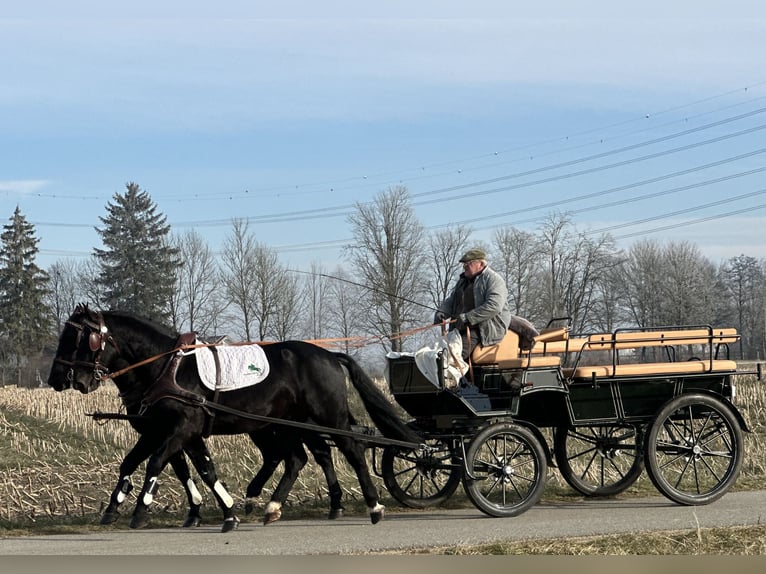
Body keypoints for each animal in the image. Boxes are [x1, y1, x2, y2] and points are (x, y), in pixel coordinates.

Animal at [48, 304, 420, 532]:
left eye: (78, 339)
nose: (59, 379)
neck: (166, 367)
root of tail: (329, 355)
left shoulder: (181, 428)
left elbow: (157, 464)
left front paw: (141, 509)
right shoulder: (165, 431)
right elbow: (182, 468)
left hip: (327, 417)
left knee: (350, 451)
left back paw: (373, 506)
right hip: (285, 423)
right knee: (297, 458)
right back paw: (271, 505)